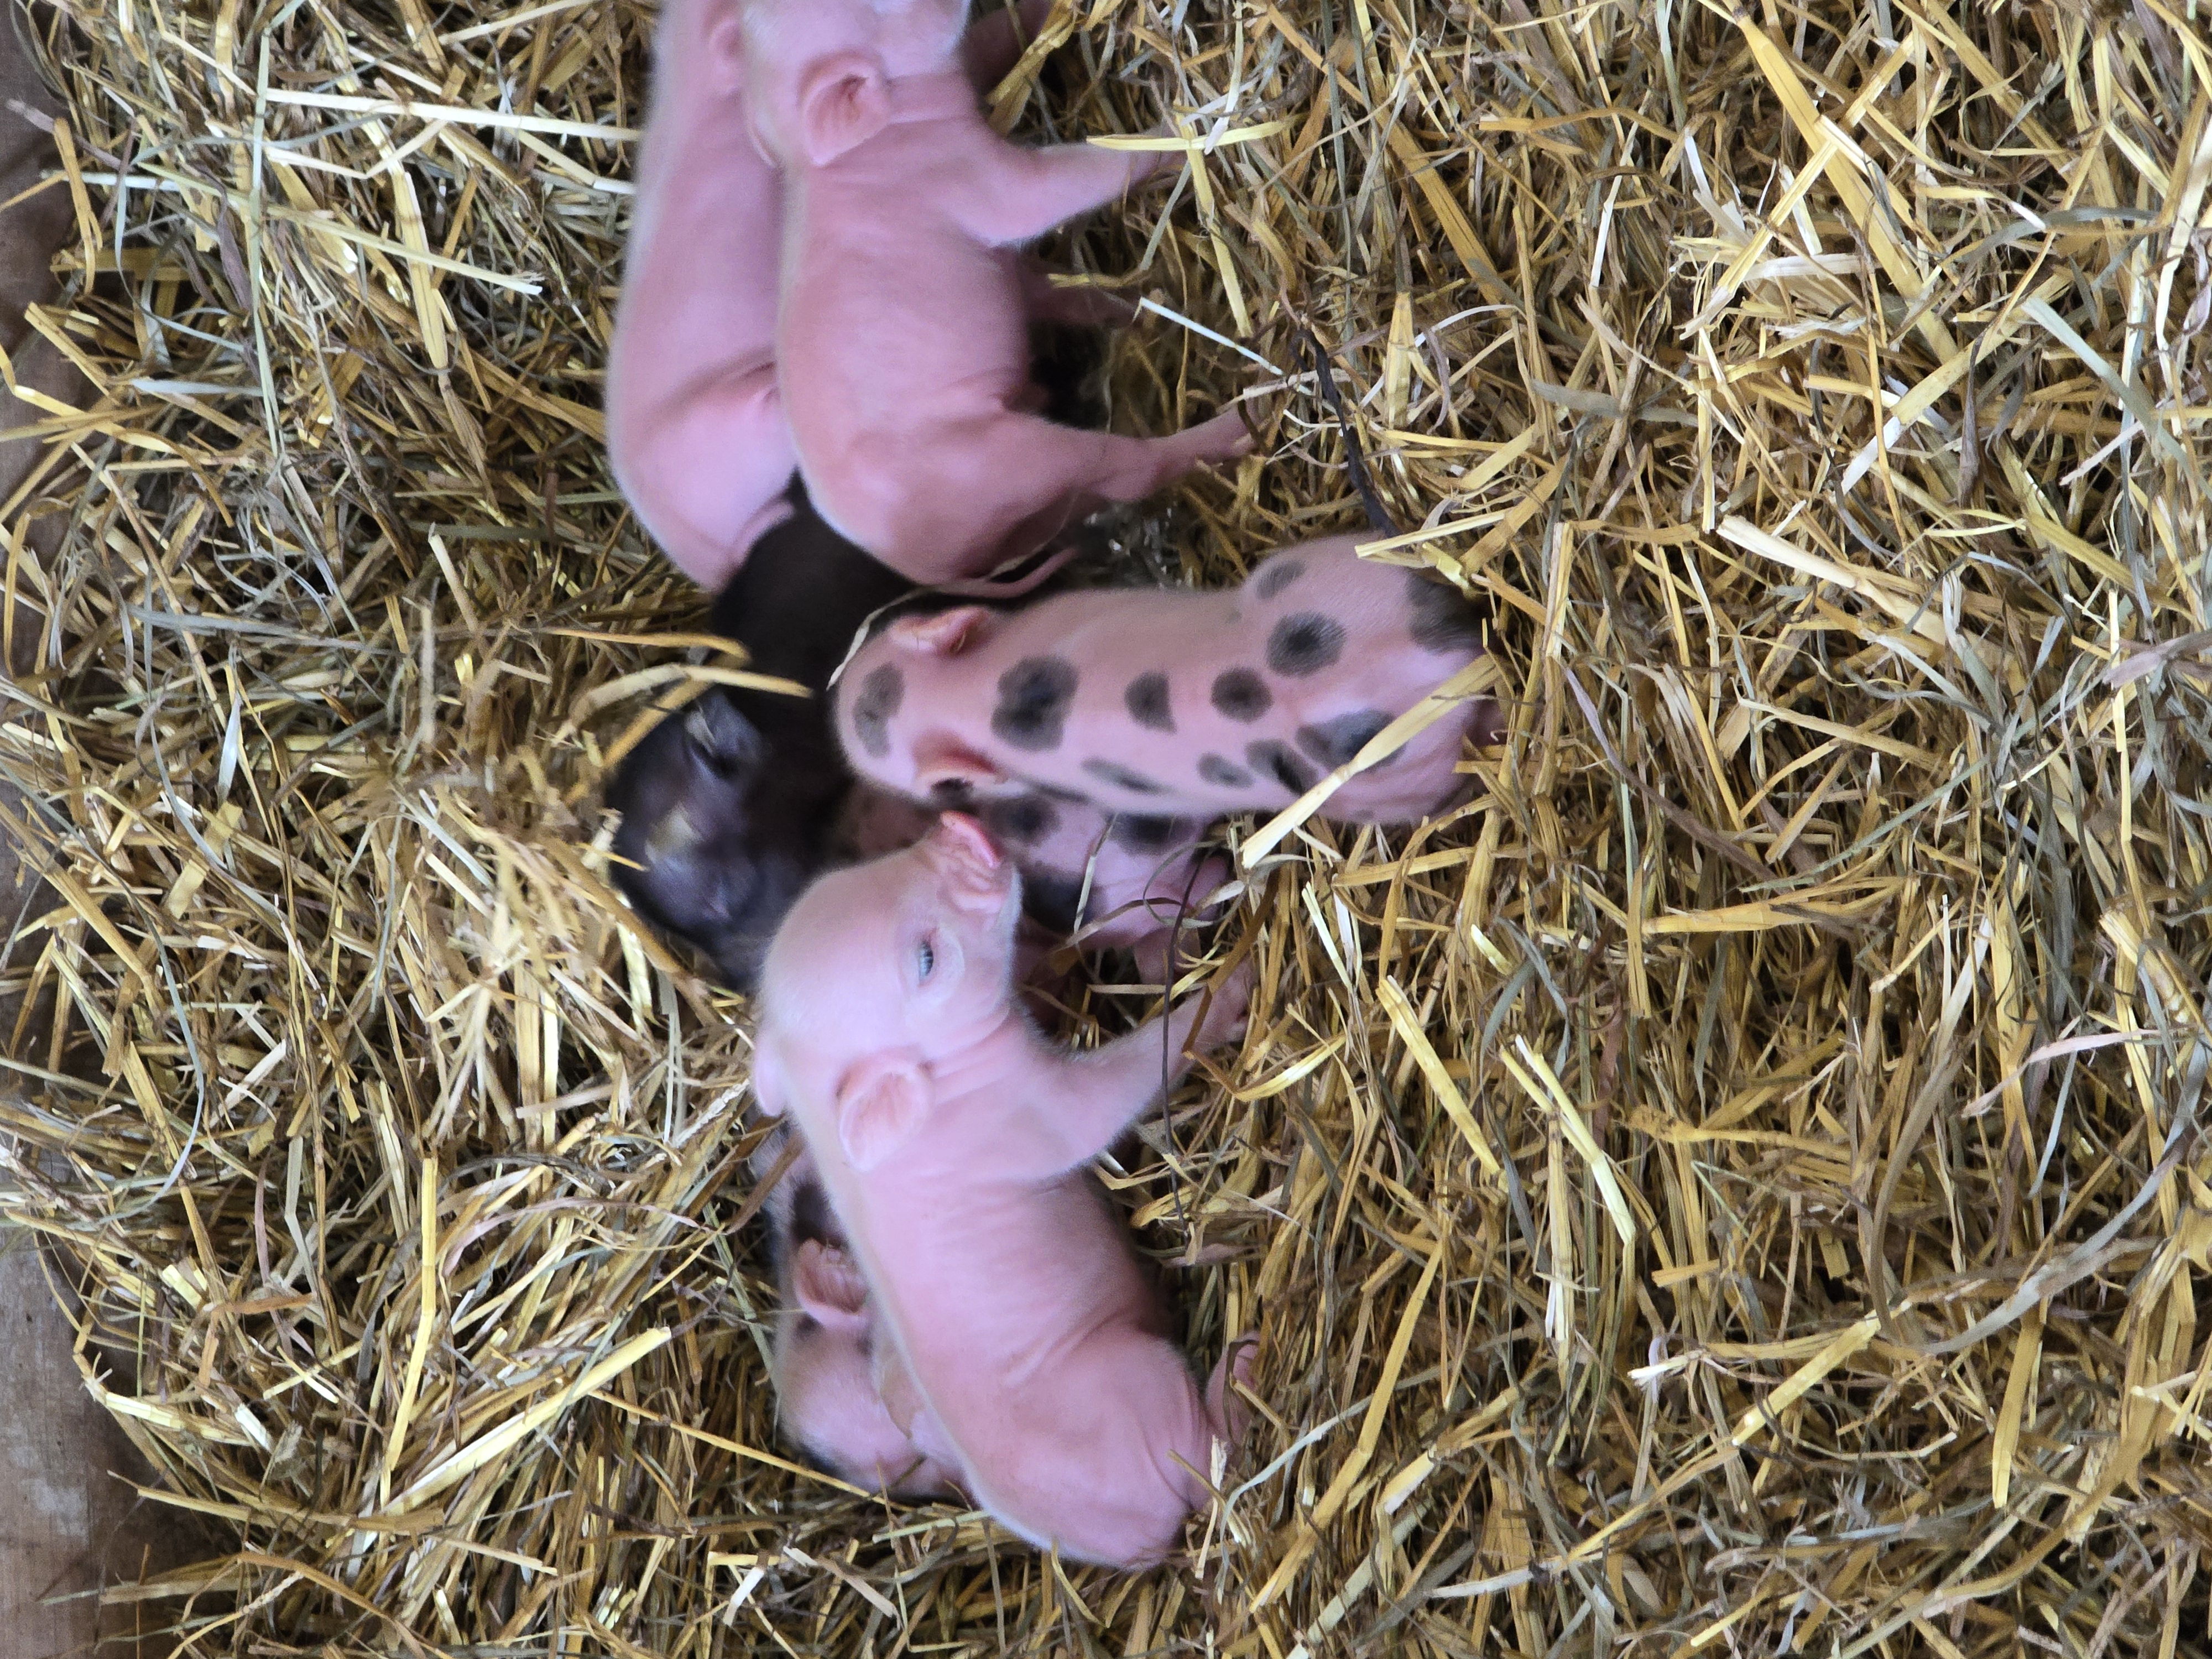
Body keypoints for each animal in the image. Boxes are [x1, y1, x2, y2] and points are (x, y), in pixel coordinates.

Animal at [733, 0, 1252, 582]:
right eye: (881, 5)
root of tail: (923, 568)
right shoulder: (965, 175)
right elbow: (1049, 187)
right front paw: (1180, 134)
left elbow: (992, 41)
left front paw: (1043, 11)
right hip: (1002, 458)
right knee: (1126, 471)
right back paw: (1234, 429)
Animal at [751, 812, 1255, 1568]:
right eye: (925, 960)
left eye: (864, 869)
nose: (962, 826)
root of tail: (1137, 1542)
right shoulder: (1032, 1114)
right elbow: (1115, 1092)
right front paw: (1228, 993)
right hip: (1144, 1382)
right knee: (1206, 1462)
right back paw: (1242, 1364)